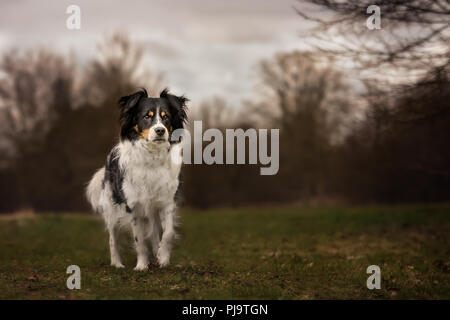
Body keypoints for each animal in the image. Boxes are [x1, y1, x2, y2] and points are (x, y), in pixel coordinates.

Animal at [87, 88, 187, 270]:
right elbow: (139, 239)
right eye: (146, 116)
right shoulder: (133, 207)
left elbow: (168, 233)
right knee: (112, 238)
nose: (160, 130)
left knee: (154, 232)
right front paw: (141, 265)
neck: (152, 155)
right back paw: (117, 263)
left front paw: (163, 257)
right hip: (111, 209)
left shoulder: (167, 202)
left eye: (166, 117)